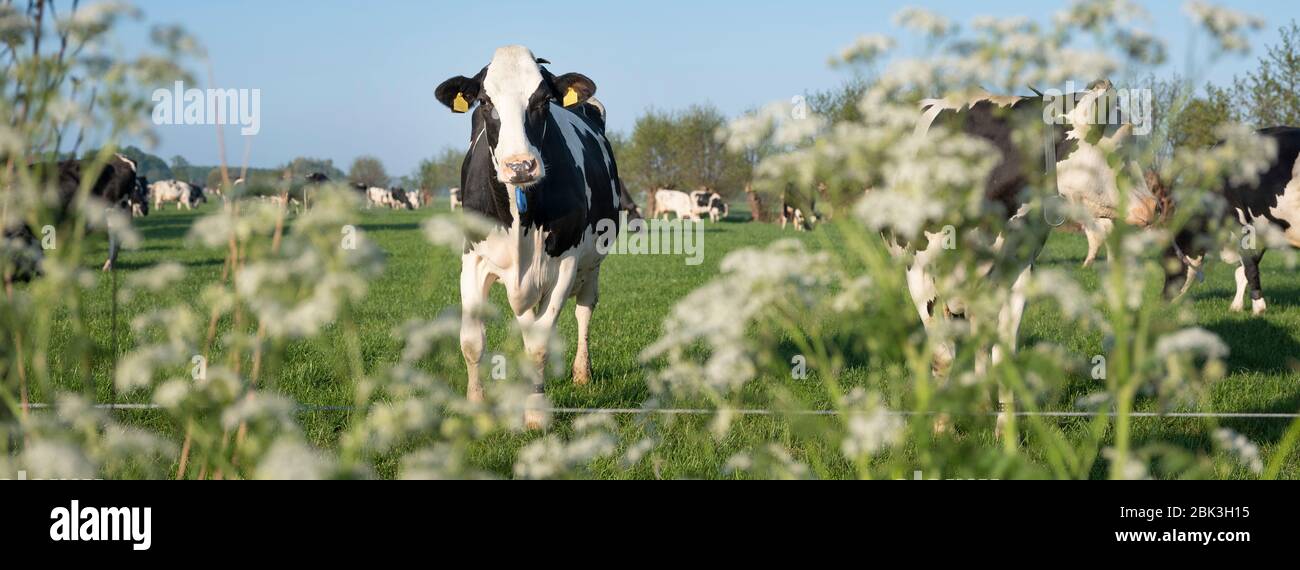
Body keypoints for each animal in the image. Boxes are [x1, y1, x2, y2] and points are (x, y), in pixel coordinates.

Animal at [435, 45, 622, 428]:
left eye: (543, 100)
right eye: (485, 102)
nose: (520, 166)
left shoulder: (565, 262)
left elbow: (537, 343)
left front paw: (536, 412)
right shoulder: (473, 258)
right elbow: (472, 340)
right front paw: (475, 404)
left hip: (591, 264)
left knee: (584, 309)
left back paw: (582, 373)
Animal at [1165, 126, 1300, 314]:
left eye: (1165, 261)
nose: (1161, 301)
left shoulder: (1241, 227)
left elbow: (1249, 269)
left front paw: (1258, 308)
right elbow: (1241, 272)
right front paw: (1236, 307)